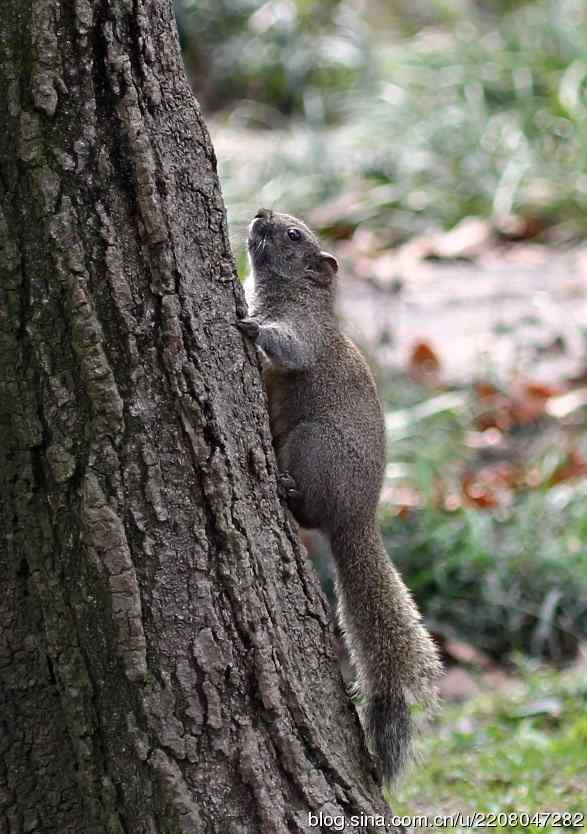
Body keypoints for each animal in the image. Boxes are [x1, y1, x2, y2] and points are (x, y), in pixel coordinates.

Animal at [237, 208, 444, 780]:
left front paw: (251, 326)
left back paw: (287, 491)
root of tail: (356, 517)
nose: (260, 212)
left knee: (310, 513)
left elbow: (289, 348)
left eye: (293, 234)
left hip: (313, 445)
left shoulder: (305, 333)